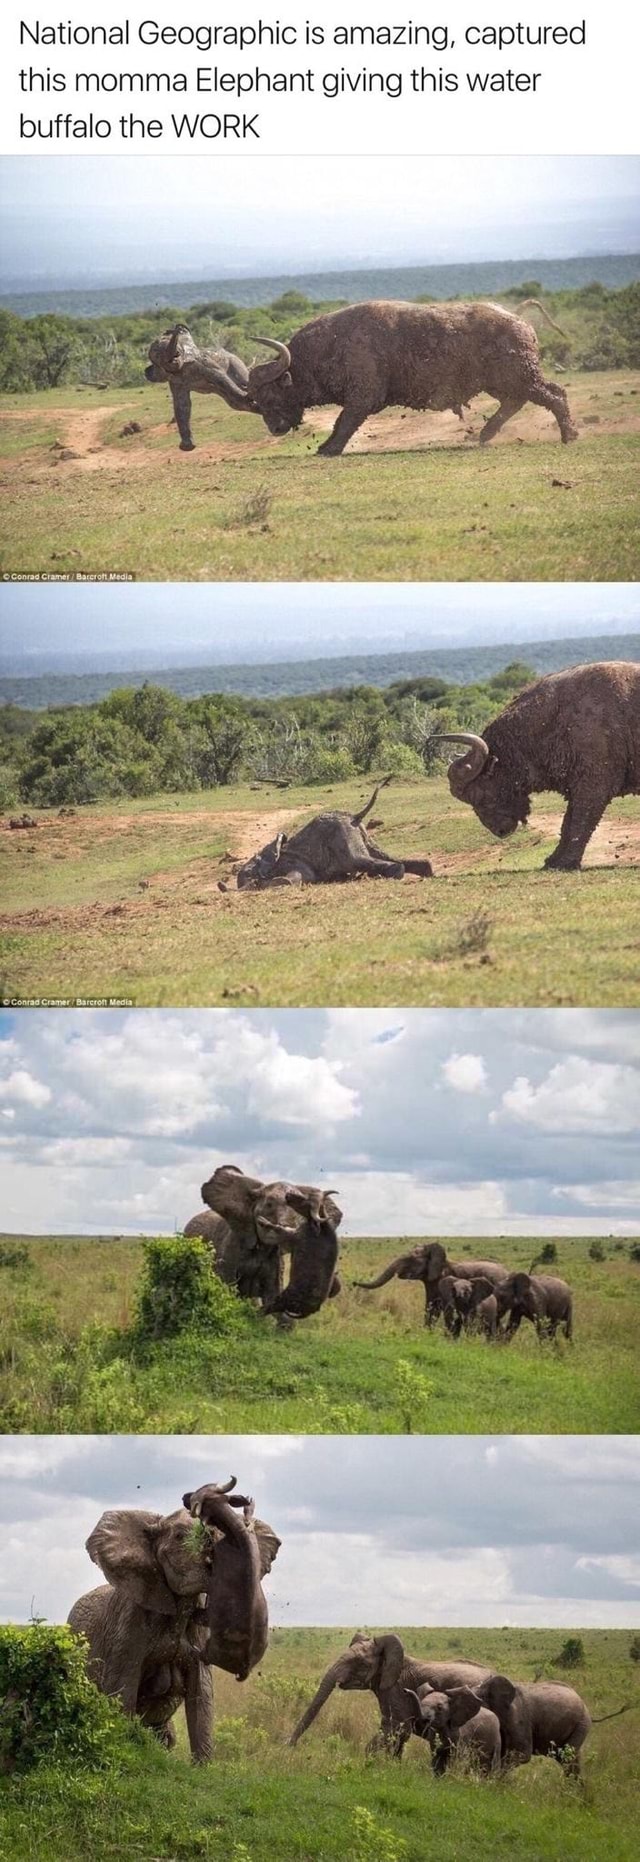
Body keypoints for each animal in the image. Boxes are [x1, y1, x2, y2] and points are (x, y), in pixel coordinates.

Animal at [67, 1474, 279, 1750]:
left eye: (215, 1533)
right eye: (179, 1537)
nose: (191, 1497)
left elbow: (202, 1698)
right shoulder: (127, 1626)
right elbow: (122, 1692)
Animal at [212, 303, 576, 456]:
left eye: (271, 397)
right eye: (256, 401)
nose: (275, 428)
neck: (328, 347)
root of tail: (520, 322)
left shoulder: (362, 398)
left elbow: (343, 423)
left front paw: (328, 449)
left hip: (521, 377)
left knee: (554, 395)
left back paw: (569, 435)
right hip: (504, 383)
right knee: (517, 402)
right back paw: (485, 434)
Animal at [435, 662, 640, 871]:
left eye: (479, 795)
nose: (500, 831)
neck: (556, 717)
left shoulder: (592, 789)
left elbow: (580, 824)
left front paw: (566, 862)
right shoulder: (576, 790)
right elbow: (567, 824)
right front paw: (553, 860)